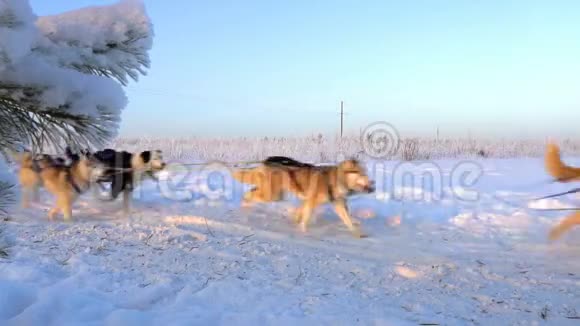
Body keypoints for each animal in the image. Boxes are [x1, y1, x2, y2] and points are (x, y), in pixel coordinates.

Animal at [231, 157, 376, 238]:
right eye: (362, 174)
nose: (373, 184)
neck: (334, 180)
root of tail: (266, 163)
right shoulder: (311, 202)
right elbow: (305, 218)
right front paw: (303, 230)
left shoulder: (337, 204)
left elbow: (348, 221)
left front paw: (358, 233)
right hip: (272, 195)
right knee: (250, 194)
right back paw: (244, 206)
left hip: (273, 193)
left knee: (251, 191)